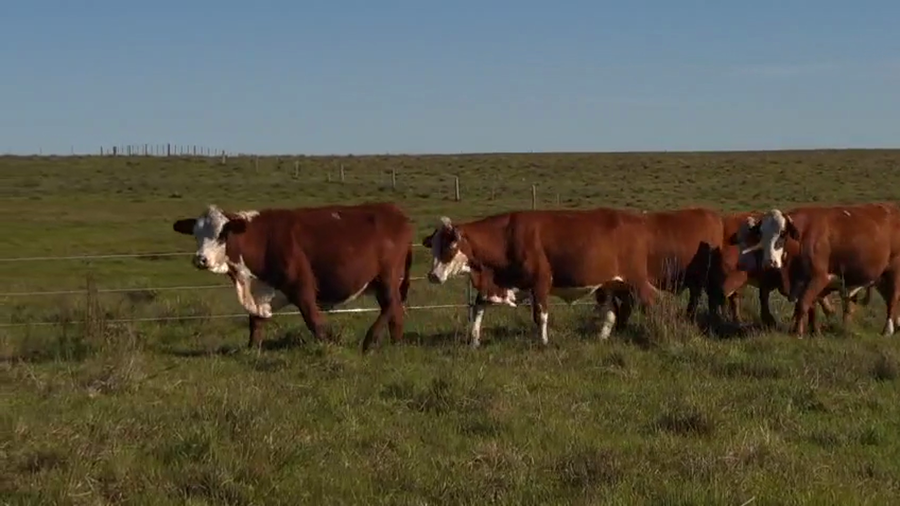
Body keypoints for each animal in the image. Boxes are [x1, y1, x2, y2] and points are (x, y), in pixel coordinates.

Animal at [171, 202, 414, 352]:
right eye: (195, 234)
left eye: (222, 234)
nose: (201, 259)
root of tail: (394, 210)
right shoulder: (262, 290)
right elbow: (255, 323)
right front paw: (252, 350)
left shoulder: (302, 286)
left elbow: (313, 321)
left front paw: (330, 345)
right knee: (395, 311)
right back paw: (396, 343)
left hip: (388, 276)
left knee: (391, 304)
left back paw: (370, 341)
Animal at [421, 207, 728, 347]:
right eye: (433, 245)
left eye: (449, 246)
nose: (432, 276)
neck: (507, 236)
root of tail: (640, 222)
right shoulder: (502, 283)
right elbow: (478, 308)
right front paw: (474, 340)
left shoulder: (540, 282)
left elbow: (541, 315)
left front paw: (543, 342)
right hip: (611, 284)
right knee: (612, 313)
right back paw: (602, 337)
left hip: (637, 282)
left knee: (653, 305)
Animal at [736, 202, 900, 337]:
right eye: (761, 234)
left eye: (782, 233)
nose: (769, 262)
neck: (803, 238)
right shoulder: (803, 281)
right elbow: (811, 307)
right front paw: (814, 330)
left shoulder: (818, 278)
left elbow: (803, 304)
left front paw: (798, 333)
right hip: (880, 277)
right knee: (889, 299)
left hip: (893, 272)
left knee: (893, 299)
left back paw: (888, 330)